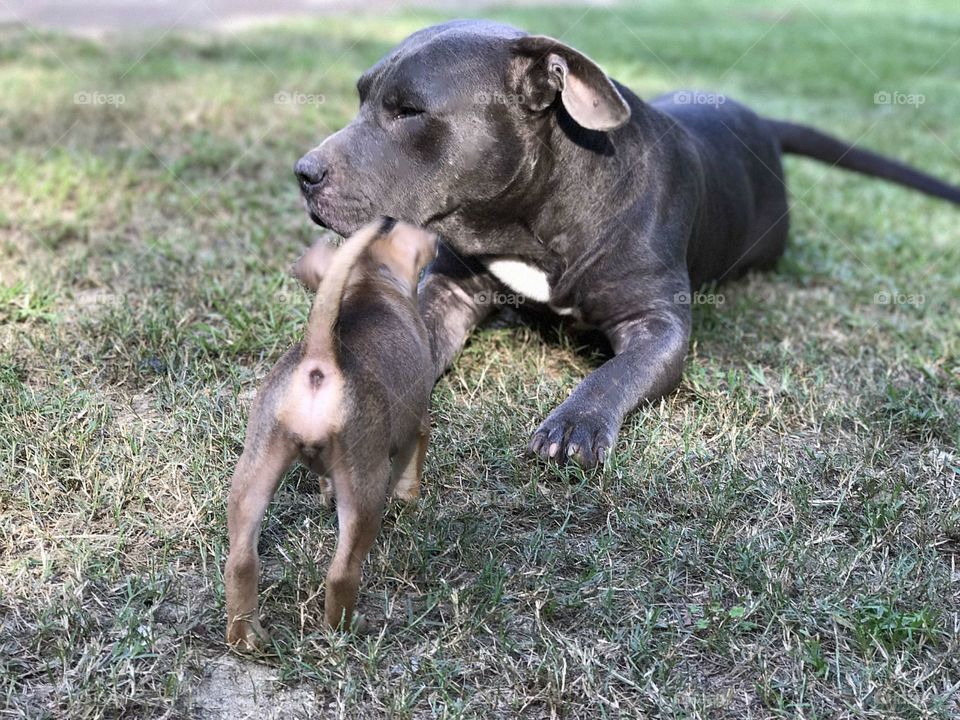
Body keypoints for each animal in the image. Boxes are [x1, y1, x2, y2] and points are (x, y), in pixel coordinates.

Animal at [225, 217, 436, 648]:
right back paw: (347, 627)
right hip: (364, 488)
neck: (370, 283)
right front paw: (409, 500)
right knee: (341, 574)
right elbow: (410, 469)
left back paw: (246, 636)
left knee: (240, 562)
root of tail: (321, 357)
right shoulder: (419, 422)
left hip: (253, 474)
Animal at [296, 19, 956, 466]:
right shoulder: (447, 292)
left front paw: (576, 422)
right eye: (361, 96)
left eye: (409, 110)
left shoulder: (657, 325)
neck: (532, 216)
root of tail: (762, 123)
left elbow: (614, 374)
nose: (303, 172)